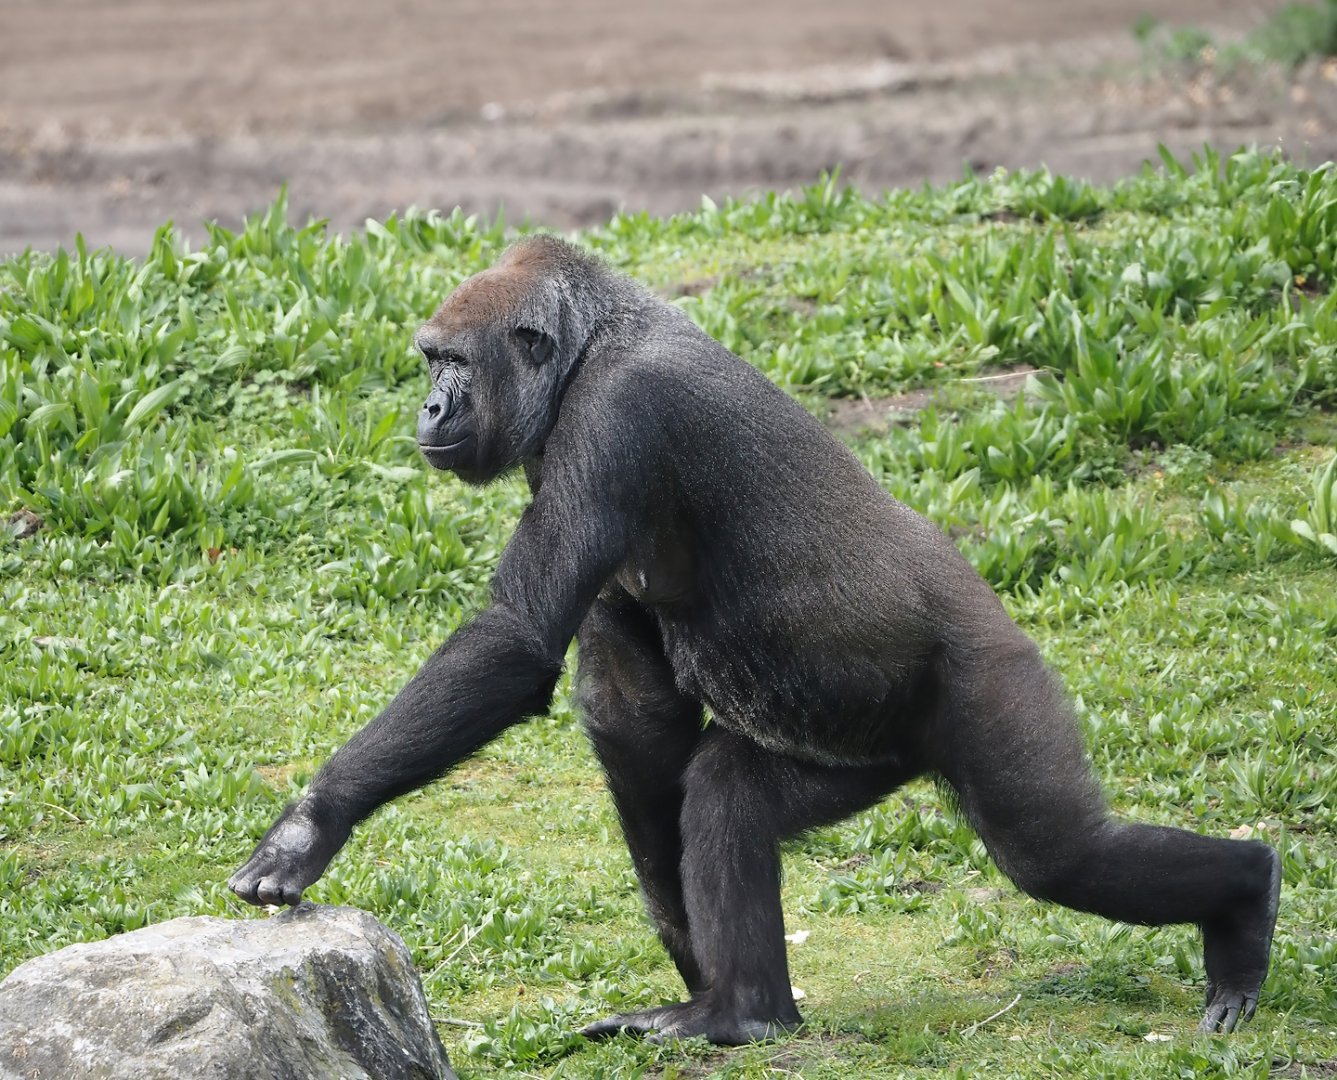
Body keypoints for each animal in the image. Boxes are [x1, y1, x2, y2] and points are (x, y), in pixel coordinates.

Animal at [230, 234, 1281, 1044]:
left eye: (451, 363)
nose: (430, 408)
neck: (590, 341)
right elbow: (634, 720)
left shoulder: (617, 419)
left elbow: (515, 645)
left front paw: (313, 821)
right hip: (871, 753)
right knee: (739, 790)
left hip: (991, 681)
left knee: (1051, 852)